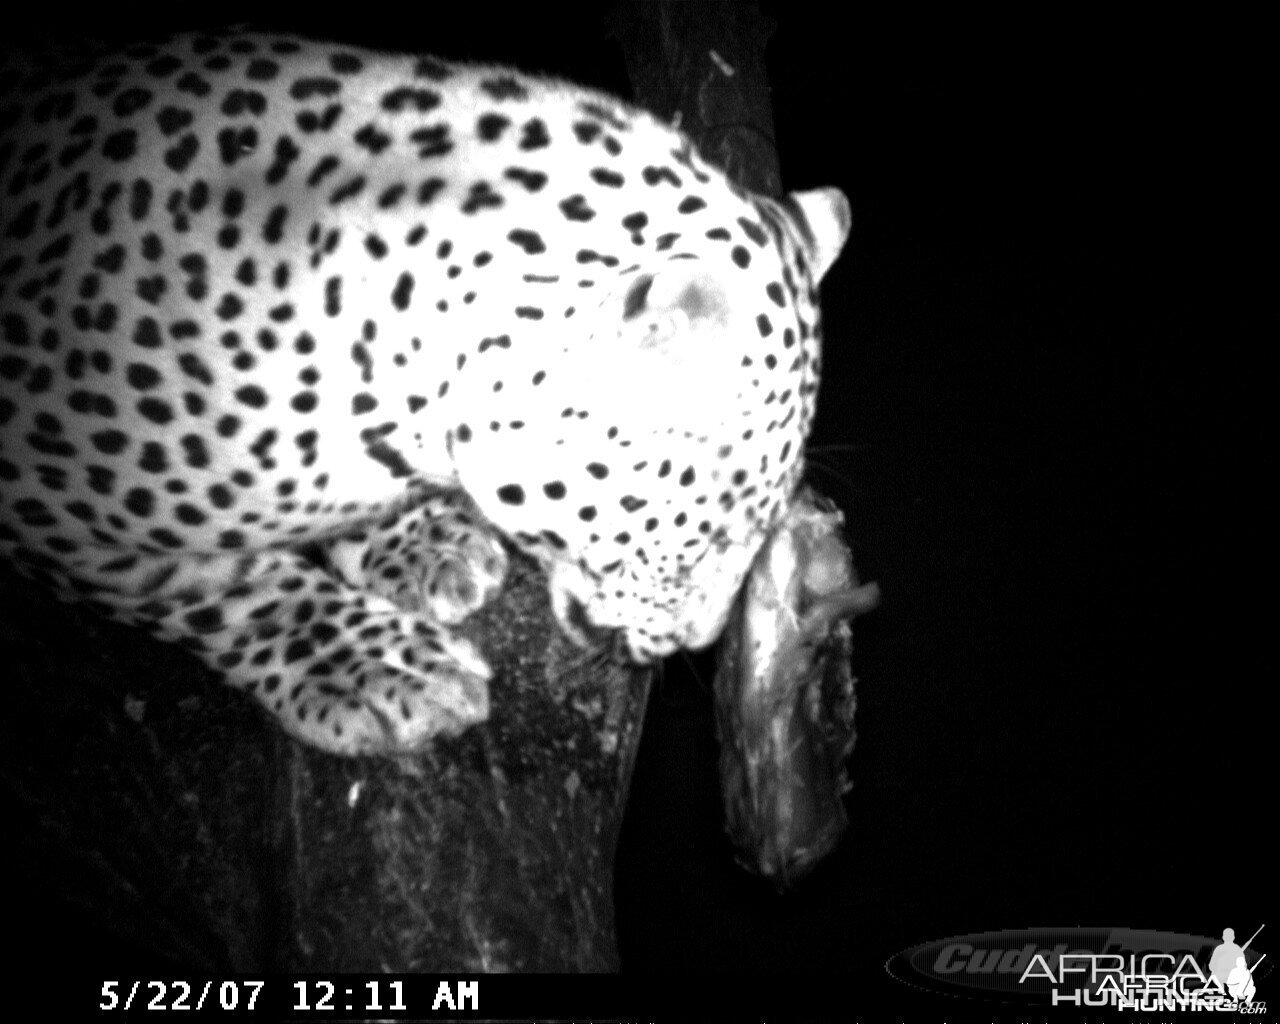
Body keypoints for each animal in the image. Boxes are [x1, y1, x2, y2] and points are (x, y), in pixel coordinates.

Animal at [5, 30, 855, 752]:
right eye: (706, 537)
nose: (699, 642)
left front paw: (421, 542)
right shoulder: (44, 508)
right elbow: (217, 588)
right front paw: (370, 668)